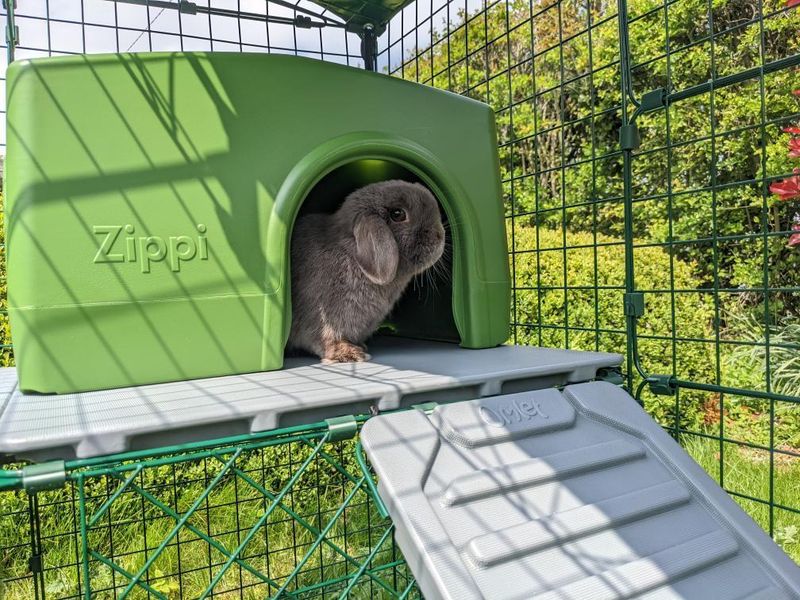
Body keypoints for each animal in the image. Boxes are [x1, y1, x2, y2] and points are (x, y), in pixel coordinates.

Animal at [290, 180, 446, 364]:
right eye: (398, 214)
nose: (440, 236)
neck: (351, 255)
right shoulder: (323, 319)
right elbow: (326, 339)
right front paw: (350, 354)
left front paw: (361, 347)